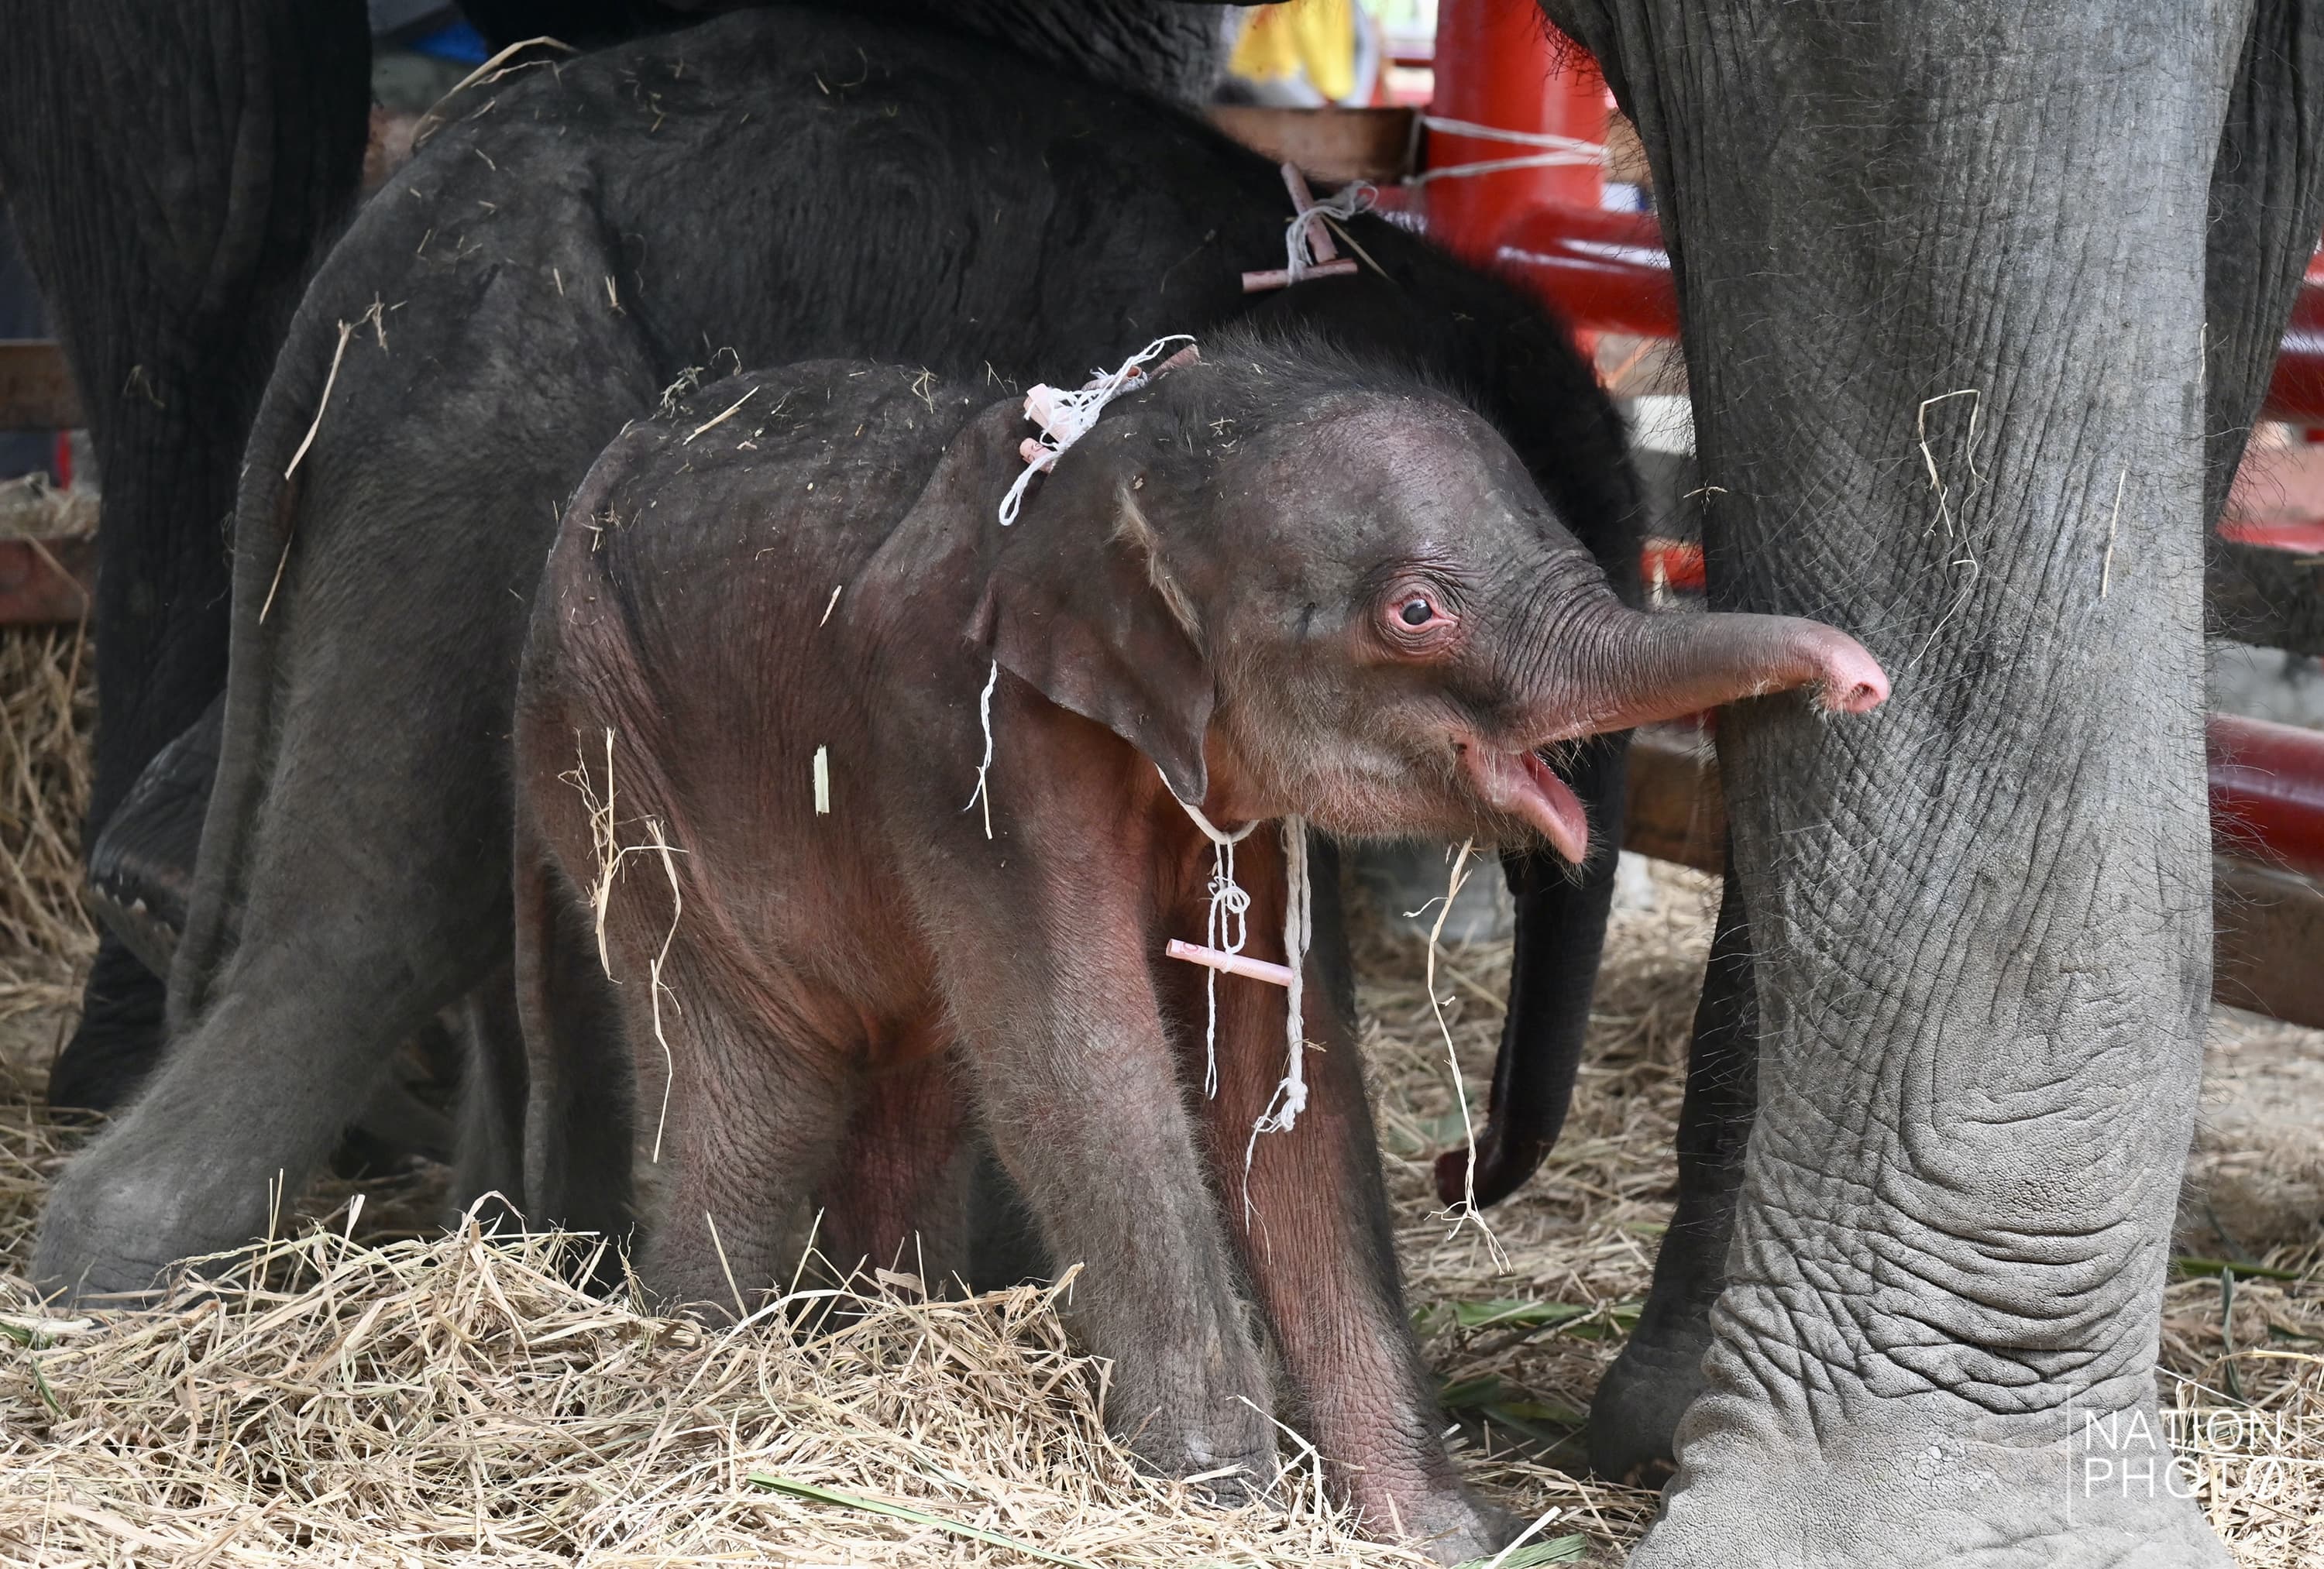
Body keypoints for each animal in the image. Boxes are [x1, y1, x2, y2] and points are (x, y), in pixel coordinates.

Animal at [30, 4, 1638, 1301]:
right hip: (484, 438)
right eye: (1426, 607)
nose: (1466, 1171)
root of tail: (370, 250)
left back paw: (522, 1243)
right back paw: (113, 1278)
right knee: (381, 910)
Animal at [512, 346, 1884, 1558]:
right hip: (615, 756)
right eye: (1417, 610)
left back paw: (882, 1338)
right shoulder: (963, 729)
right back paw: (712, 1364)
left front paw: (1448, 1536)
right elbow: (1084, 1063)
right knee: (763, 1089)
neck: (1106, 470)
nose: (1861, 684)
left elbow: (1287, 1089)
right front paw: (1227, 1508)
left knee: (911, 1084)